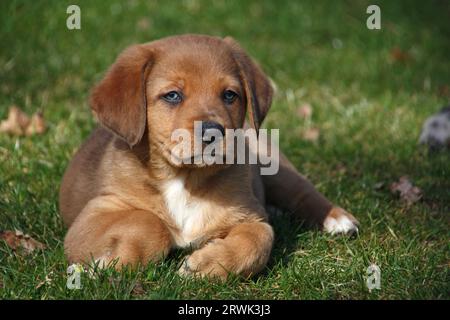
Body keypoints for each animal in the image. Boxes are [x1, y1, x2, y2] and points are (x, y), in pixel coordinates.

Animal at [59, 35, 358, 280]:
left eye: (229, 95)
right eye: (172, 95)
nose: (213, 131)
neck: (184, 178)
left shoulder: (250, 216)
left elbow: (260, 240)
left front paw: (208, 265)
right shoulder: (91, 217)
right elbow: (150, 221)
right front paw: (105, 264)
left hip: (275, 167)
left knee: (302, 192)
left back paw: (339, 220)